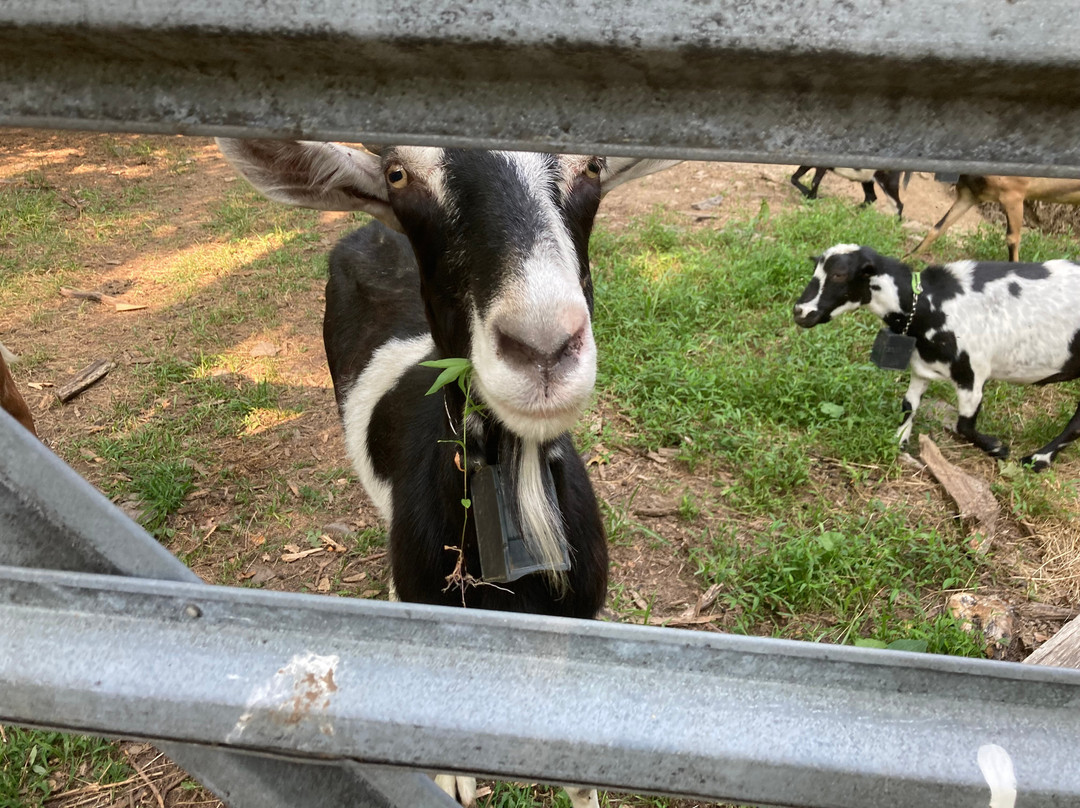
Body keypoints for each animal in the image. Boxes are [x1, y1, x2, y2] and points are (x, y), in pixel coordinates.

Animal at [793, 244, 1080, 470]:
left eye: (839, 274)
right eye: (815, 271)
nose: (800, 311)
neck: (929, 305)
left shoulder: (971, 374)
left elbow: (964, 426)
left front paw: (998, 448)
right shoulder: (921, 367)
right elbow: (909, 405)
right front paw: (899, 439)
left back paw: (1038, 459)